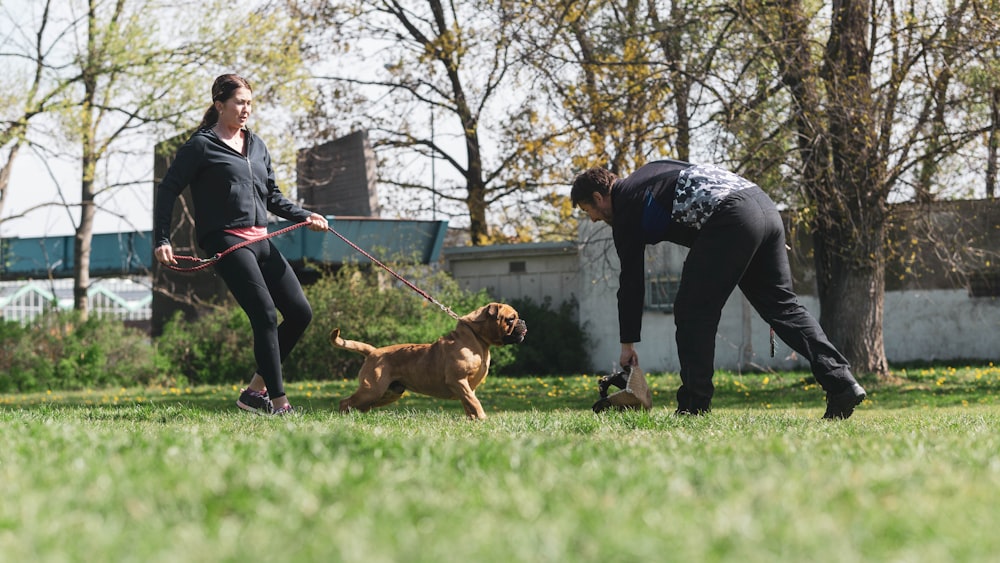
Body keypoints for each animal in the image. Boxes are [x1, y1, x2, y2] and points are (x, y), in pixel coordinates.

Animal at [332, 304, 528, 418]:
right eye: (511, 319)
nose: (524, 322)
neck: (478, 340)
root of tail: (373, 352)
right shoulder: (458, 381)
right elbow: (475, 402)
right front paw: (483, 419)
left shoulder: (467, 387)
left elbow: (469, 403)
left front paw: (473, 421)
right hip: (372, 389)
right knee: (345, 402)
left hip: (387, 393)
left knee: (358, 405)